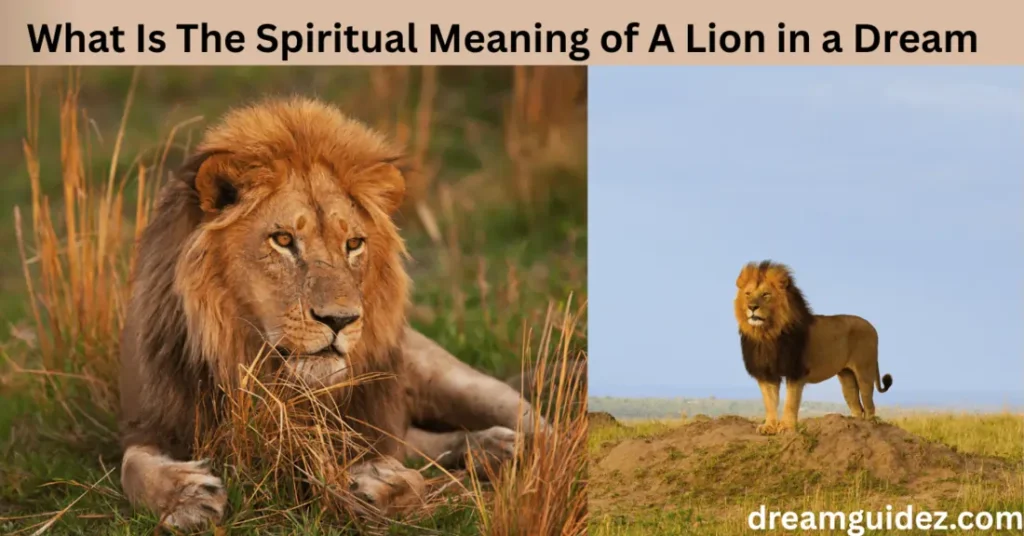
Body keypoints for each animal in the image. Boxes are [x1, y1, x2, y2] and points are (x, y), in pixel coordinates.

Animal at [118, 97, 547, 530]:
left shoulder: (371, 429)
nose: (340, 320)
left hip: (453, 379)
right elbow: (131, 466)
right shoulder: (159, 422)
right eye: (283, 240)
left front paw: (381, 486)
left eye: (353, 244)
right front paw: (187, 497)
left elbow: (408, 478)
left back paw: (511, 448)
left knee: (541, 426)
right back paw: (490, 448)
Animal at [734, 260, 892, 435]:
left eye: (765, 294)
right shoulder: (766, 374)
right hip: (847, 376)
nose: (751, 307)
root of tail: (872, 326)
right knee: (857, 407)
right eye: (748, 294)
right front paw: (769, 427)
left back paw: (870, 427)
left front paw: (786, 427)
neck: (767, 334)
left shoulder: (796, 371)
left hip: (865, 371)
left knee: (869, 405)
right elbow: (769, 403)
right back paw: (853, 427)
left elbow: (790, 402)